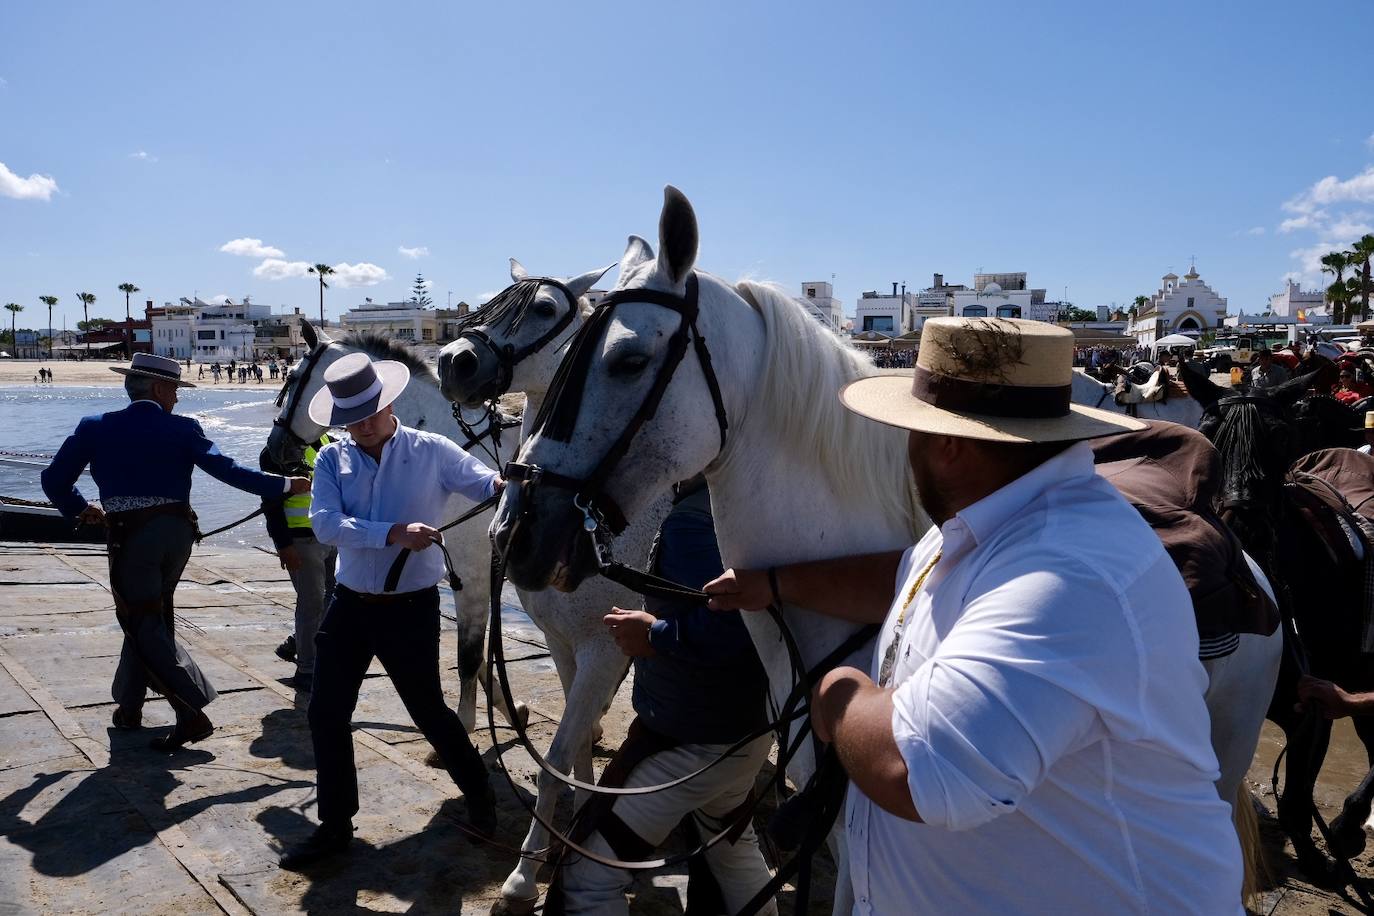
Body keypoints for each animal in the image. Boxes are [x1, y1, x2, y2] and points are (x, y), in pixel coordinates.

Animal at [436, 260, 678, 911]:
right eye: (490, 303)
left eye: (544, 309)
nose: (452, 361)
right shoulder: (565, 644)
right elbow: (569, 753)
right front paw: (575, 822)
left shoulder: (604, 647)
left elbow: (556, 756)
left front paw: (522, 877)